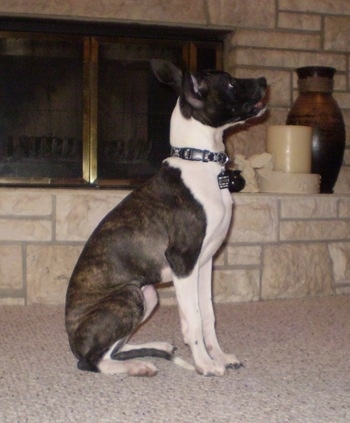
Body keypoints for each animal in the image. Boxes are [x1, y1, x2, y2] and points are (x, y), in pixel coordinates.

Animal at [65, 60, 266, 378]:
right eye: (231, 83)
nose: (264, 80)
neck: (200, 162)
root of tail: (73, 341)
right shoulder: (183, 262)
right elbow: (193, 319)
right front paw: (205, 364)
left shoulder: (204, 263)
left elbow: (208, 316)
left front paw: (220, 357)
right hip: (130, 295)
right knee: (92, 361)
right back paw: (137, 365)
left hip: (148, 295)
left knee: (114, 348)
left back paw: (155, 348)